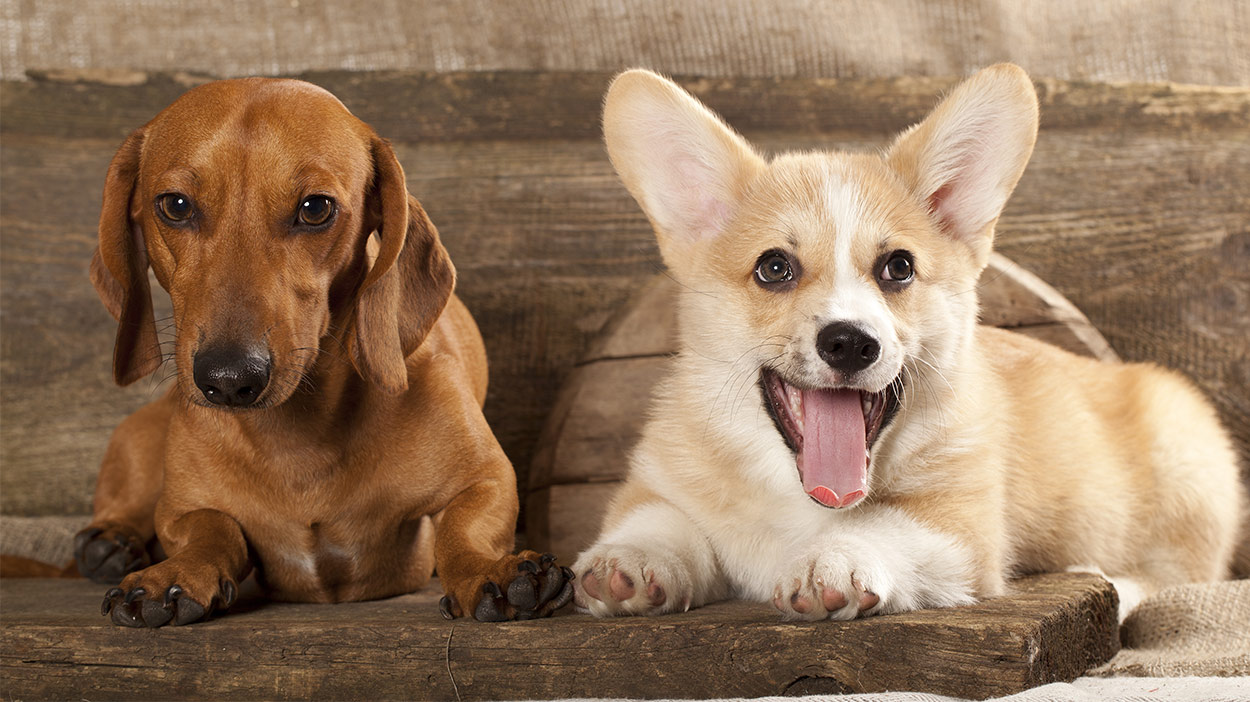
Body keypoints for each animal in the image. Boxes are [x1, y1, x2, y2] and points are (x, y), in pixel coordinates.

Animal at [572, 62, 1245, 614]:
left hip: (1188, 463)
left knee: (1179, 577)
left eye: (898, 267)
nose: (850, 342)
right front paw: (629, 562)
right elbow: (659, 520)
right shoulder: (658, 481)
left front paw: (832, 560)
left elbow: (883, 525)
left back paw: (1107, 582)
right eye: (773, 268)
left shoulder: (959, 527)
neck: (803, 499)